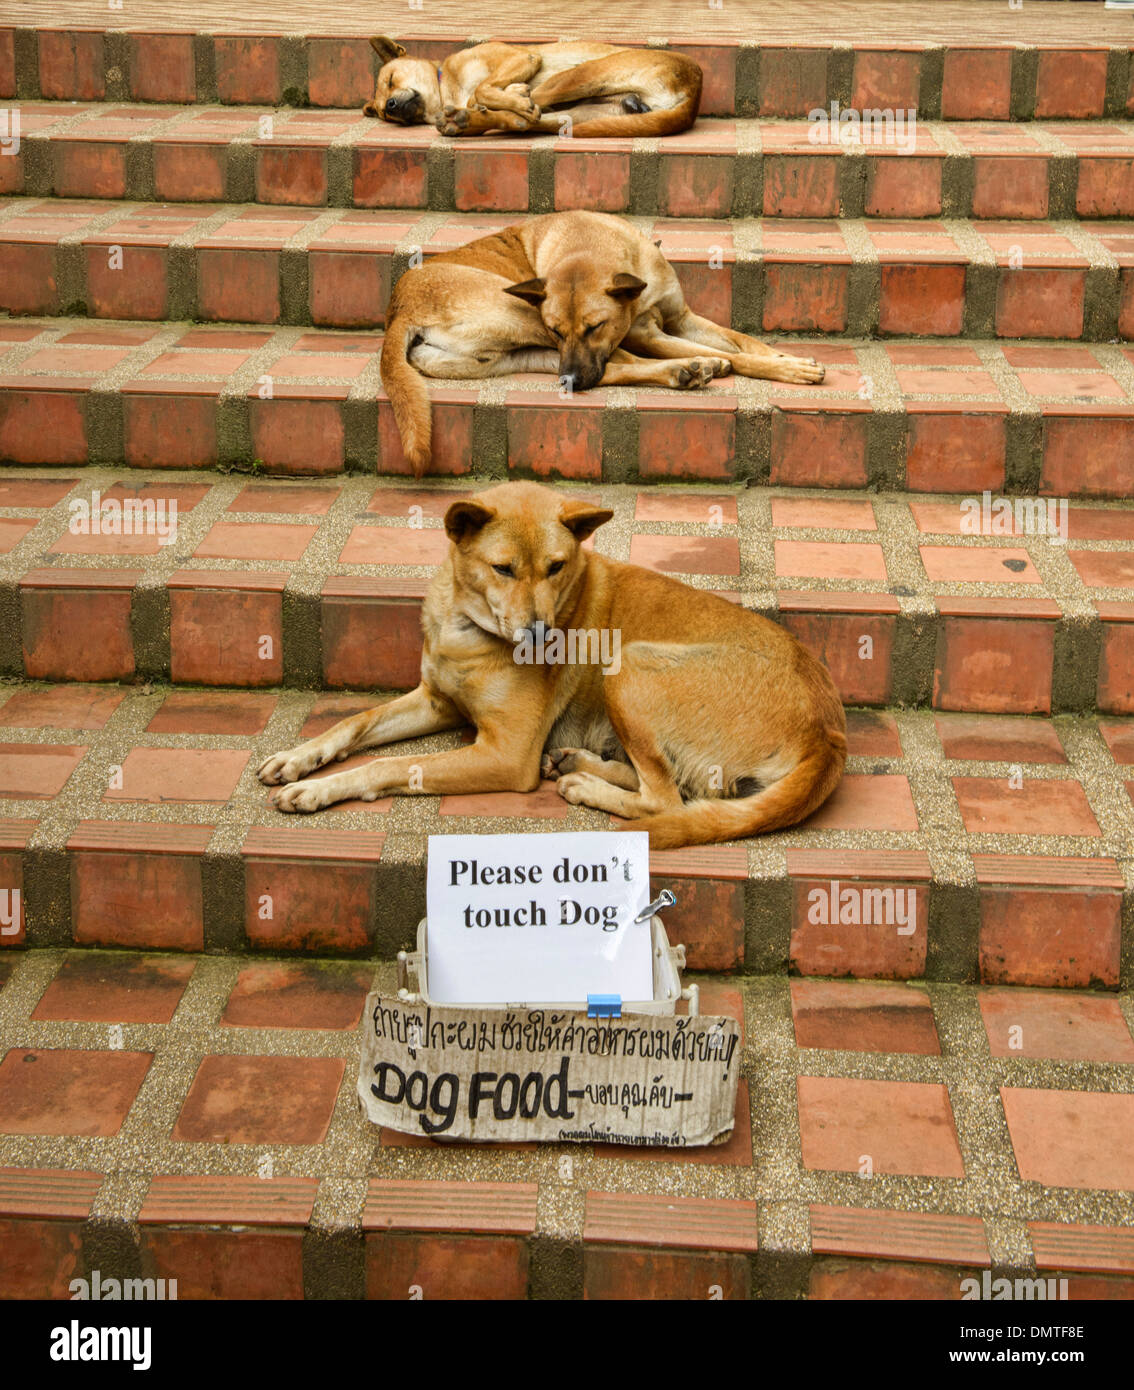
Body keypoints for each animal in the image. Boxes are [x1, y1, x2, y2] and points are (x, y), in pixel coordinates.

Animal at [254, 480, 839, 845]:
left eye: (556, 567)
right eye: (503, 569)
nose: (539, 637)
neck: (469, 631)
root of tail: (828, 733)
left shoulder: (506, 754)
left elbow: (388, 766)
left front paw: (317, 789)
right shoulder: (436, 701)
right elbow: (355, 723)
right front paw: (298, 759)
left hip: (628, 664)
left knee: (667, 801)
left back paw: (584, 783)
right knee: (671, 785)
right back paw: (577, 763)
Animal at [364, 36, 700, 138]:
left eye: (390, 79)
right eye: (384, 114)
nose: (391, 106)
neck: (447, 87)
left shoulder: (522, 57)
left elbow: (480, 90)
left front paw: (504, 96)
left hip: (574, 77)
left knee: (527, 105)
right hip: (580, 116)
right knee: (526, 122)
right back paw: (465, 122)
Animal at [386, 208, 828, 475]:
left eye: (594, 326)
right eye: (557, 328)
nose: (570, 383)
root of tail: (399, 308)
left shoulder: (682, 318)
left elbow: (742, 340)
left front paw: (781, 356)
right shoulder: (647, 335)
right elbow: (736, 357)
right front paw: (785, 368)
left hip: (524, 354)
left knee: (614, 368)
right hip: (524, 317)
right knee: (627, 363)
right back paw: (690, 369)